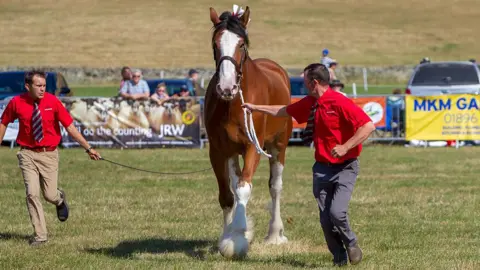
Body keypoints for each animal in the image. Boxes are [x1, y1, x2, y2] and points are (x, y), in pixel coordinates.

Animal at [203, 5, 292, 258]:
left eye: (241, 44)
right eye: (215, 44)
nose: (226, 87)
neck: (232, 104)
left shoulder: (254, 146)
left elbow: (244, 189)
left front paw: (239, 236)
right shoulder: (218, 151)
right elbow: (227, 196)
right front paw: (227, 236)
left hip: (279, 146)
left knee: (275, 187)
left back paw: (274, 234)